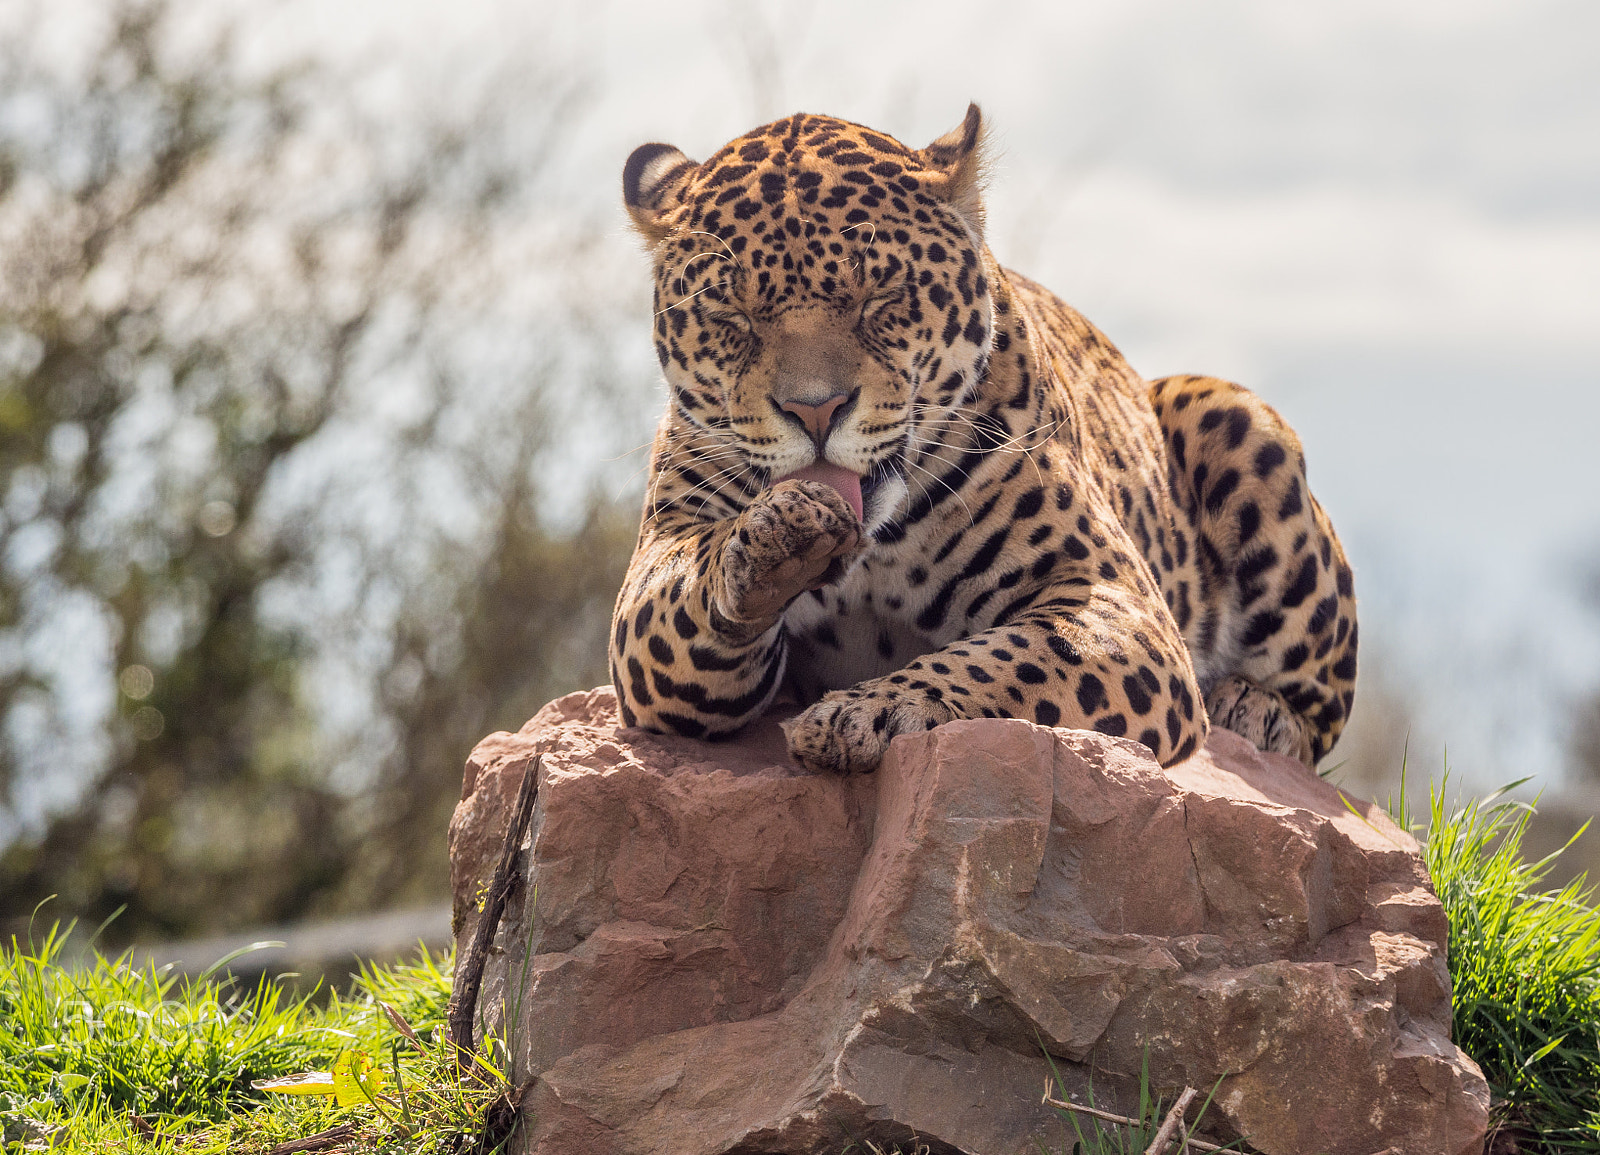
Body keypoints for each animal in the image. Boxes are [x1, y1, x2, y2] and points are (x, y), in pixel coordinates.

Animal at [604, 107, 1356, 774]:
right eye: (730, 314)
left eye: (881, 296)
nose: (815, 412)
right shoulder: (652, 587)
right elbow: (695, 582)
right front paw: (775, 543)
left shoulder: (1117, 604)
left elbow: (1007, 661)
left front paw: (868, 712)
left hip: (1235, 414)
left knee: (1317, 715)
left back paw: (1255, 710)